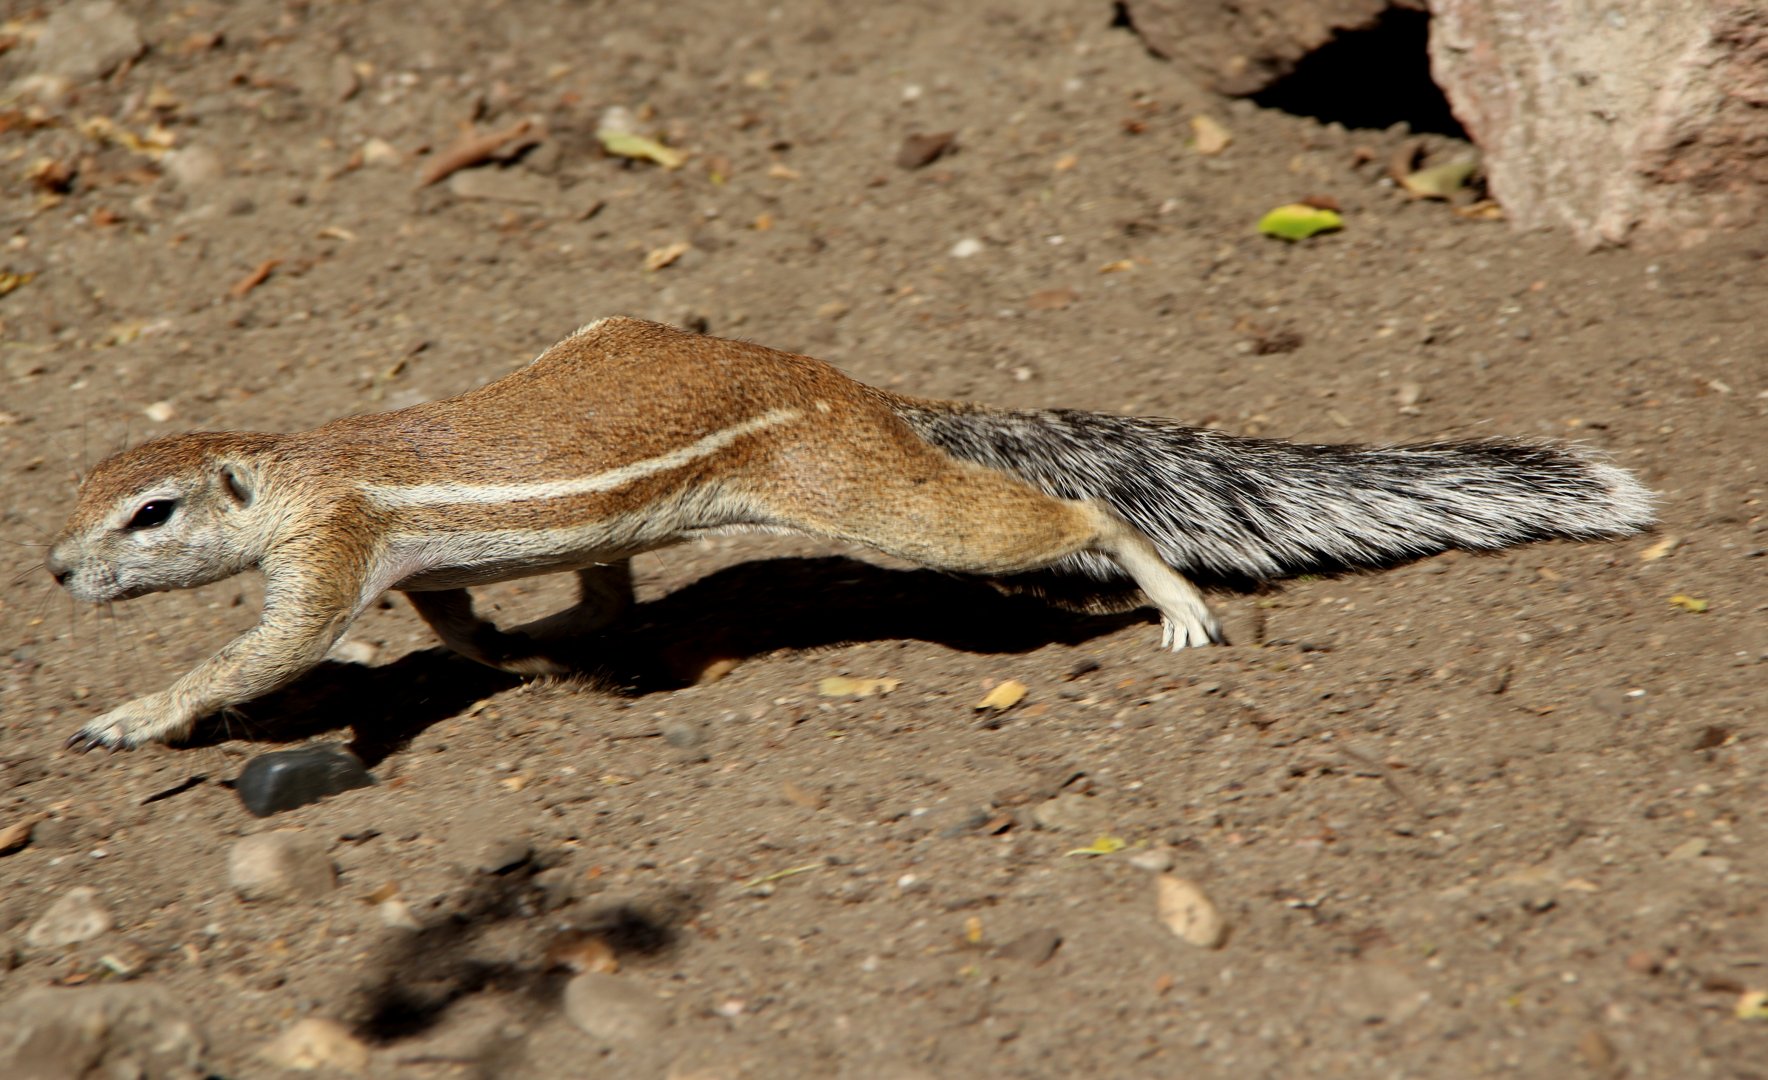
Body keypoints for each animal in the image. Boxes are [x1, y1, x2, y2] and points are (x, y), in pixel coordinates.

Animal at [46, 316, 1655, 751]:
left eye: (149, 513)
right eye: (72, 496)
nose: (57, 570)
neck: (292, 468)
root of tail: (850, 389)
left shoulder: (322, 559)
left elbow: (262, 659)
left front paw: (131, 716)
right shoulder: (401, 563)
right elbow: (446, 613)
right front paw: (503, 657)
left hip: (882, 508)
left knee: (1071, 512)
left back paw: (1172, 598)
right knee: (608, 586)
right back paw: (585, 639)